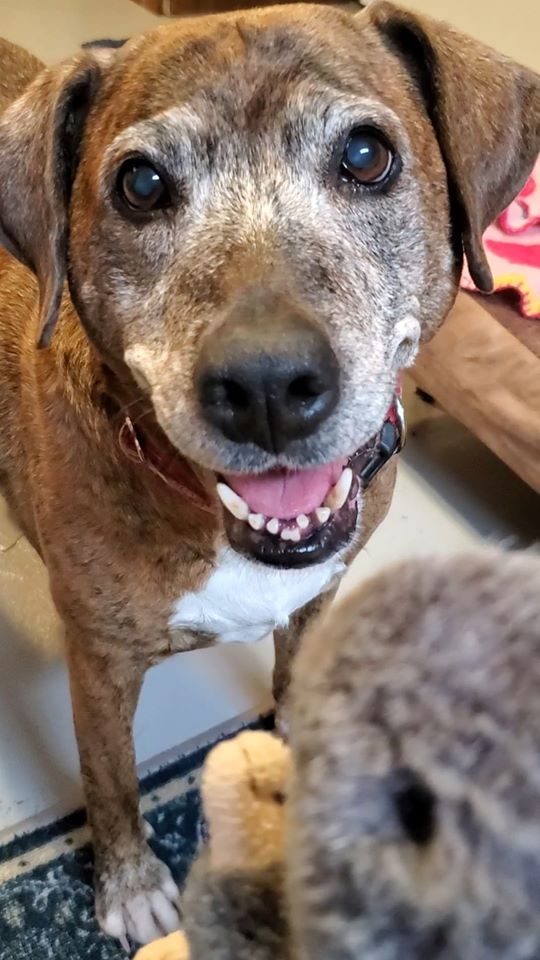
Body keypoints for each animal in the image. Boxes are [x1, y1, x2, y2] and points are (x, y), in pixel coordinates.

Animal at [0, 0, 538, 947]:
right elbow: (112, 776)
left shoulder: (320, 595)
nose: (267, 387)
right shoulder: (98, 663)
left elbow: (294, 687)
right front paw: (131, 886)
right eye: (141, 184)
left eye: (365, 156)